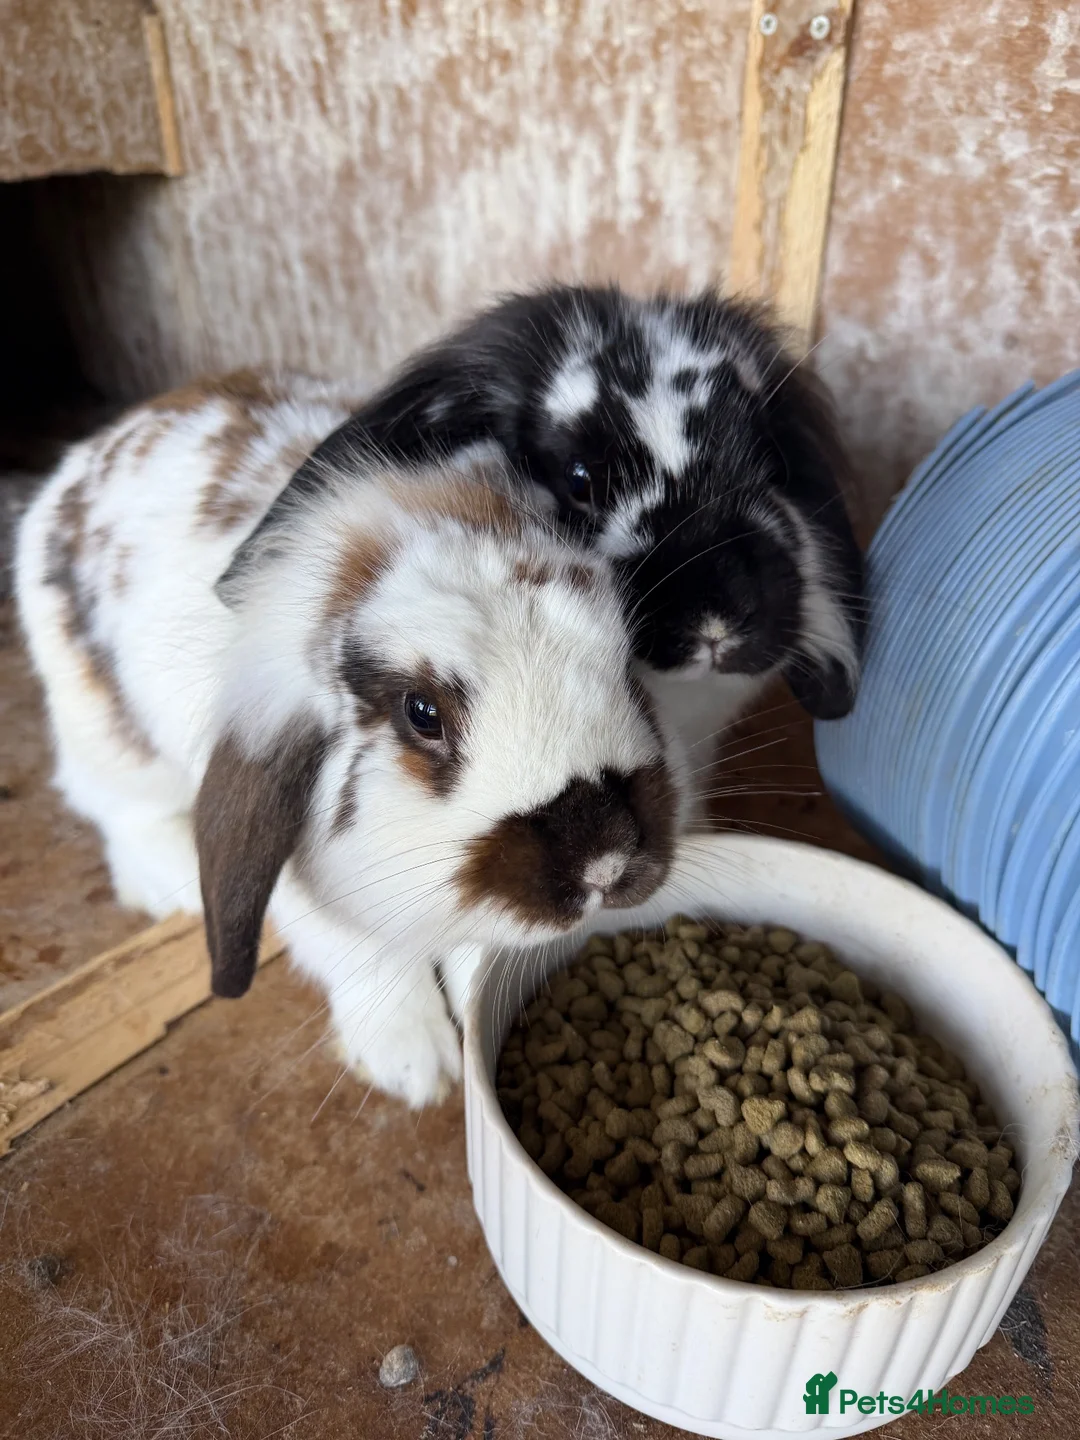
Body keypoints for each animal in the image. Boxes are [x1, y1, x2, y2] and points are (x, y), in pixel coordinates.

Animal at [15, 369, 687, 1108]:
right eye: (422, 713)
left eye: (624, 660)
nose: (606, 862)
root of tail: (91, 453)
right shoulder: (310, 895)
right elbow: (368, 959)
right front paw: (416, 1065)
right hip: (106, 735)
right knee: (110, 808)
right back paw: (175, 884)